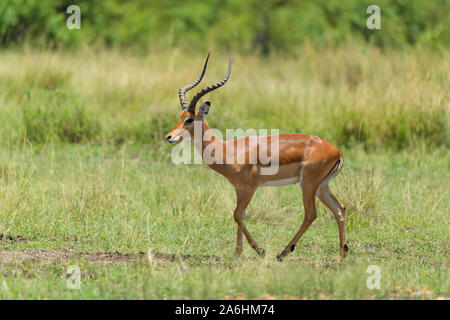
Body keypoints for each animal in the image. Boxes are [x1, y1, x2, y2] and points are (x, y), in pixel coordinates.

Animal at [165, 53, 348, 260]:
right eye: (180, 117)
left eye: (189, 119)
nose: (169, 137)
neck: (229, 150)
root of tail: (336, 151)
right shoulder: (238, 189)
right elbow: (239, 215)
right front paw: (237, 252)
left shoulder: (250, 187)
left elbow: (237, 215)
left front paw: (259, 250)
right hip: (322, 186)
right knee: (340, 209)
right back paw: (341, 255)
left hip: (308, 185)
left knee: (311, 214)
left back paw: (282, 253)